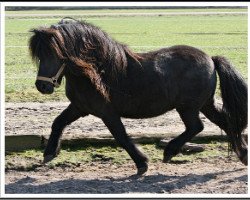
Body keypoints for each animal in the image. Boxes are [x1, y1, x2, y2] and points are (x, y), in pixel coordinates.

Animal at [29, 18, 248, 175]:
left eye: (55, 53)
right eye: (39, 55)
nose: (42, 86)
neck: (96, 71)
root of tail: (210, 59)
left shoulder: (106, 112)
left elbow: (121, 135)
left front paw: (142, 163)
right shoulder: (79, 107)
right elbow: (58, 122)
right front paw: (49, 153)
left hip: (188, 107)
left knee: (196, 127)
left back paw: (169, 151)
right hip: (205, 104)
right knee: (226, 122)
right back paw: (243, 155)